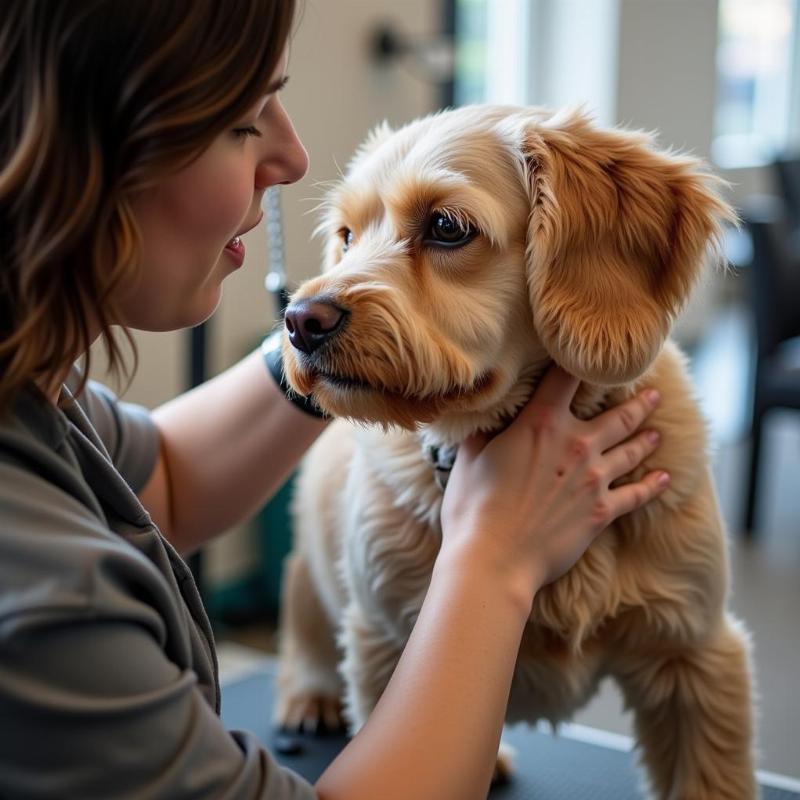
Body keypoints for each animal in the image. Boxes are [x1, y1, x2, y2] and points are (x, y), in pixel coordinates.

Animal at [276, 106, 756, 800]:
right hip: (314, 566)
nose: (298, 321)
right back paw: (309, 690)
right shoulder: (384, 644)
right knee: (304, 611)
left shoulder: (695, 655)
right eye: (346, 234)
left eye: (446, 227)